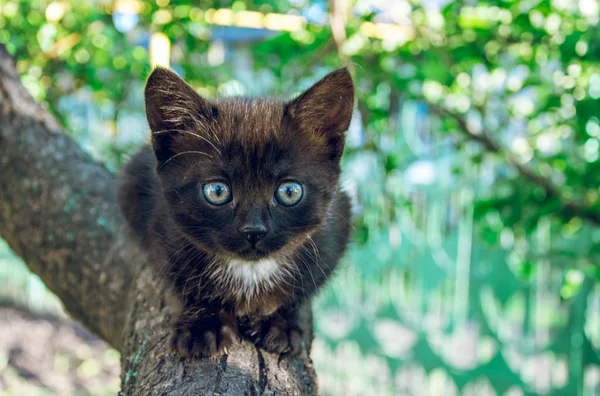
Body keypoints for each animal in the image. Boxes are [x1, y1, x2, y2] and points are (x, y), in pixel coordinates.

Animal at [120, 66, 356, 358]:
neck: (250, 272)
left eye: (289, 191)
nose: (253, 230)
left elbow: (302, 290)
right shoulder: (161, 229)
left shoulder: (337, 225)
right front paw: (204, 323)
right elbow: (185, 283)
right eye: (217, 191)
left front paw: (280, 323)